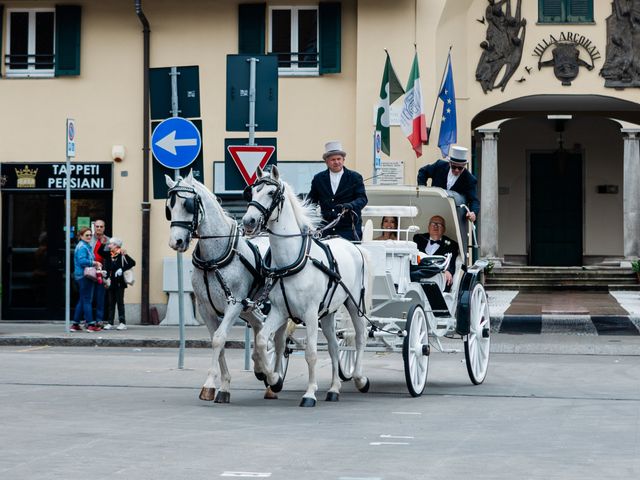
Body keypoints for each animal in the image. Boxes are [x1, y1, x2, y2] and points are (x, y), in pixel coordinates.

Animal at [165, 172, 278, 404]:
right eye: (169, 208)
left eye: (188, 204)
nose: (176, 242)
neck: (214, 258)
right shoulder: (206, 309)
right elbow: (218, 341)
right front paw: (223, 386)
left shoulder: (233, 305)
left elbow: (219, 339)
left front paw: (209, 384)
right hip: (249, 308)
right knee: (260, 327)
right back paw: (260, 366)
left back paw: (272, 378)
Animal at [241, 167, 370, 406]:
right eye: (252, 192)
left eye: (272, 193)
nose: (249, 221)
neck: (291, 260)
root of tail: (352, 246)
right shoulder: (280, 311)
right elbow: (263, 341)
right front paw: (274, 379)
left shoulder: (309, 313)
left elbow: (310, 352)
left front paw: (310, 393)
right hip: (328, 312)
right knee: (334, 346)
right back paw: (334, 389)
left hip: (353, 303)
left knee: (360, 337)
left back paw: (359, 378)